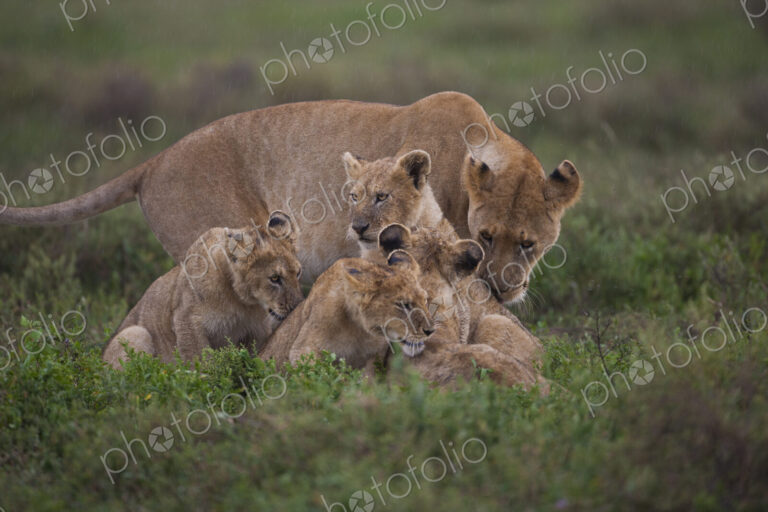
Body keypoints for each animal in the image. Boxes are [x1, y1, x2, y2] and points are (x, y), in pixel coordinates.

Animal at [102, 211, 303, 369]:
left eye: (298, 273)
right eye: (275, 278)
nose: (297, 306)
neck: (241, 301)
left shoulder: (257, 330)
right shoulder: (186, 320)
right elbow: (200, 363)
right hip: (135, 333)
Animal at [259, 251, 434, 377]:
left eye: (425, 300)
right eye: (403, 305)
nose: (430, 331)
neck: (360, 330)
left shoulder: (373, 359)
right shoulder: (303, 350)